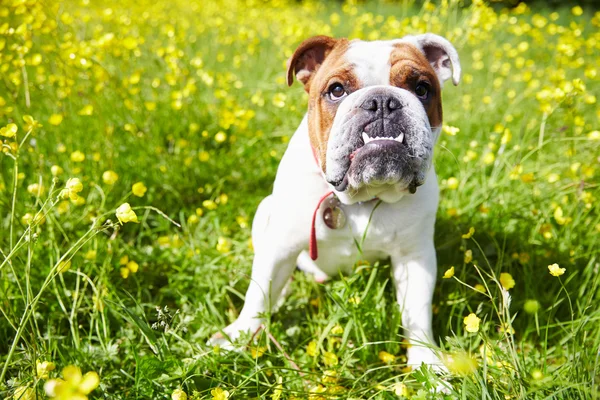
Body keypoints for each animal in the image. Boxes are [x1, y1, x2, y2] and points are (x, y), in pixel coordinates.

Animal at [213, 33, 462, 368]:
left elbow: (417, 314)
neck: (358, 198)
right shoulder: (280, 245)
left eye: (422, 88)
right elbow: (258, 294)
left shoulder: (414, 257)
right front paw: (237, 338)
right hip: (265, 212)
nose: (382, 102)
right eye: (336, 90)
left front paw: (427, 363)